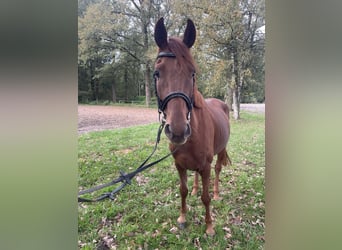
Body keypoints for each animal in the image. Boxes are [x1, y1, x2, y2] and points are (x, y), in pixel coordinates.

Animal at [154, 18, 231, 236]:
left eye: (192, 73)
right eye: (157, 73)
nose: (178, 130)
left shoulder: (205, 167)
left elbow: (205, 198)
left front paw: (210, 227)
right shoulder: (179, 165)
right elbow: (183, 190)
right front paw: (182, 218)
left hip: (221, 151)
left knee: (218, 170)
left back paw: (217, 194)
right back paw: (196, 189)